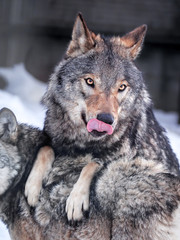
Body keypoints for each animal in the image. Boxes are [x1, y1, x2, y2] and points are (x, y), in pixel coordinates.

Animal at [0, 14, 180, 239]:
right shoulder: (52, 140)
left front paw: (76, 200)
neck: (81, 143)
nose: (106, 119)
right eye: (90, 81)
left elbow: (94, 163)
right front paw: (33, 186)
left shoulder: (123, 159)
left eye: (121, 87)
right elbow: (45, 148)